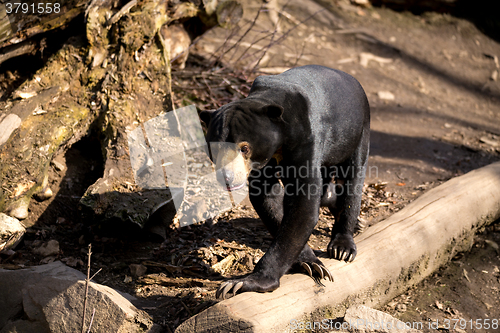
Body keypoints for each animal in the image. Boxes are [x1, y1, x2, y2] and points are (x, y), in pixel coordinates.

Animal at [200, 65, 372, 298]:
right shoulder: (263, 163)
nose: (227, 177)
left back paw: (343, 247)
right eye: (215, 148)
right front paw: (309, 263)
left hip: (358, 131)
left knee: (353, 180)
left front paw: (243, 283)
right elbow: (269, 200)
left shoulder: (306, 139)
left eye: (244, 148)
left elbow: (302, 206)